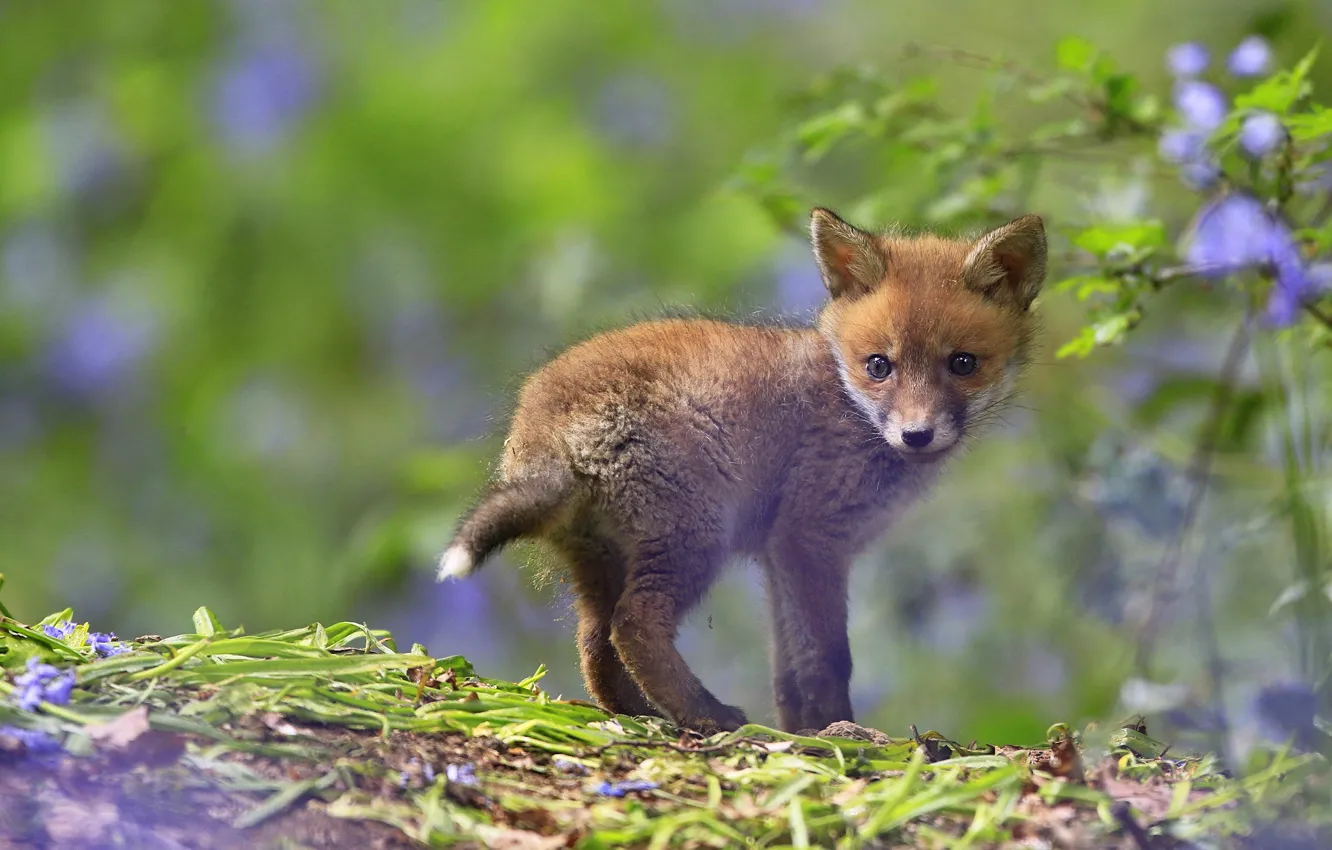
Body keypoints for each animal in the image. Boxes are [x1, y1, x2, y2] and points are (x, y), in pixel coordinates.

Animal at [437, 207, 1047, 735]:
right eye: (879, 365)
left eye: (962, 364)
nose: (916, 435)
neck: (846, 402)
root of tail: (542, 420)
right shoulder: (809, 539)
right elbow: (829, 659)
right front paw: (841, 731)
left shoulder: (778, 556)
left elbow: (788, 670)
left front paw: (803, 730)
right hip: (693, 538)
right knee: (633, 626)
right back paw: (707, 714)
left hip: (602, 560)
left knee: (596, 646)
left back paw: (642, 716)